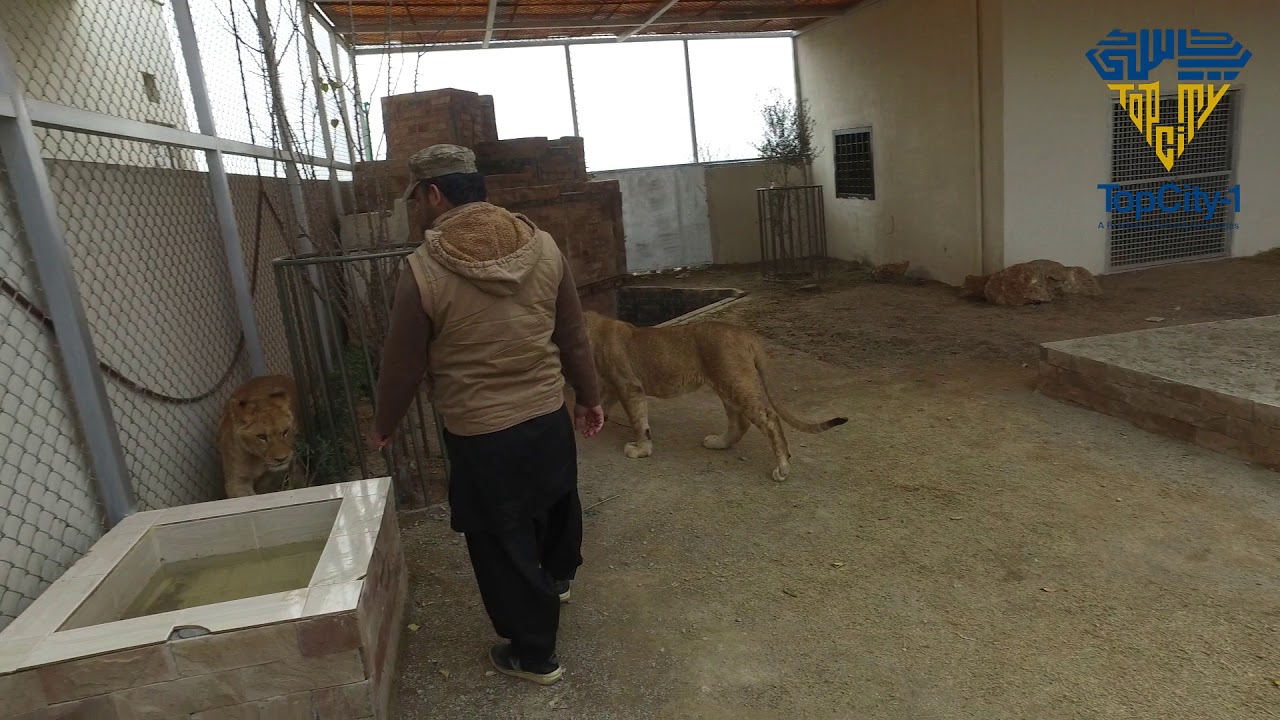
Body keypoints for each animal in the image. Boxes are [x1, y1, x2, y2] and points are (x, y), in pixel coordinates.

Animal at [581, 310, 847, 482]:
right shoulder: (613, 386)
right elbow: (604, 403)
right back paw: (719, 442)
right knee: (740, 422)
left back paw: (782, 468)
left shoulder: (629, 386)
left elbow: (638, 422)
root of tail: (745, 333)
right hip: (726, 384)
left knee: (768, 418)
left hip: (733, 381)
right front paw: (593, 422)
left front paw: (640, 450)